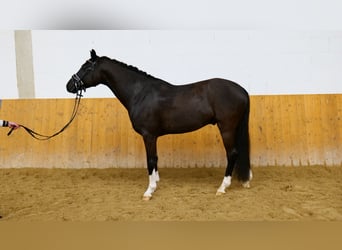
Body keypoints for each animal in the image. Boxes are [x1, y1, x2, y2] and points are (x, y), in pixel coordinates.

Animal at [66, 49, 251, 200]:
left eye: (86, 67)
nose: (69, 85)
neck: (140, 93)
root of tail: (241, 90)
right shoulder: (152, 136)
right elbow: (155, 160)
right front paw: (155, 184)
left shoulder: (149, 135)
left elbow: (150, 160)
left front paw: (149, 191)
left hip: (226, 128)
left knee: (232, 153)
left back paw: (222, 188)